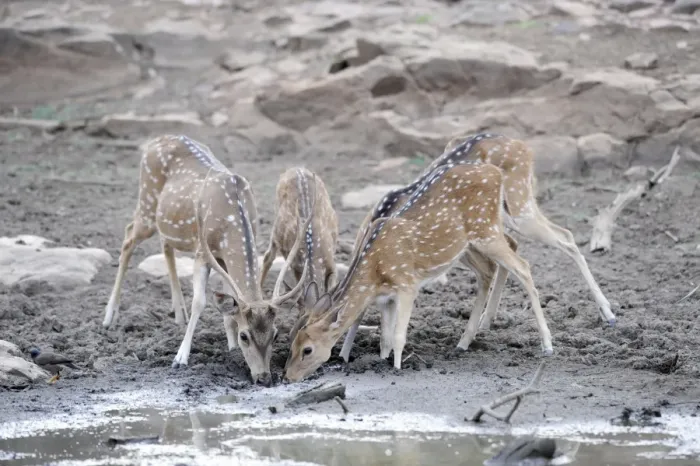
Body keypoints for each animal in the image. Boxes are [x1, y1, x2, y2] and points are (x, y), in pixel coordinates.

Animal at [102, 134, 312, 386]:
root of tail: (156, 140)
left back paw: (178, 313)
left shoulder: (222, 256)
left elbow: (228, 304)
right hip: (147, 205)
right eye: (245, 336)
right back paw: (109, 317)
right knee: (127, 237)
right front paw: (180, 358)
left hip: (166, 221)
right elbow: (200, 302)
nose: (264, 378)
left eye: (275, 333)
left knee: (164, 244)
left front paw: (230, 349)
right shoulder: (203, 252)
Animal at [259, 167, 340, 341]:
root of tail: (295, 168)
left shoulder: (332, 263)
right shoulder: (296, 264)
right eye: (291, 335)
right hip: (276, 227)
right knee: (268, 256)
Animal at [284, 158, 552, 383]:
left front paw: (397, 368)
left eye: (307, 349)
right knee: (489, 270)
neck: (375, 272)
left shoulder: (407, 284)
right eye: (291, 343)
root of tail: (496, 173)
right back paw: (463, 342)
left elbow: (399, 335)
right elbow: (385, 338)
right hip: (467, 245)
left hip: (486, 230)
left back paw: (547, 344)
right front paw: (381, 361)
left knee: (523, 266)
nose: (288, 376)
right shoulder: (386, 297)